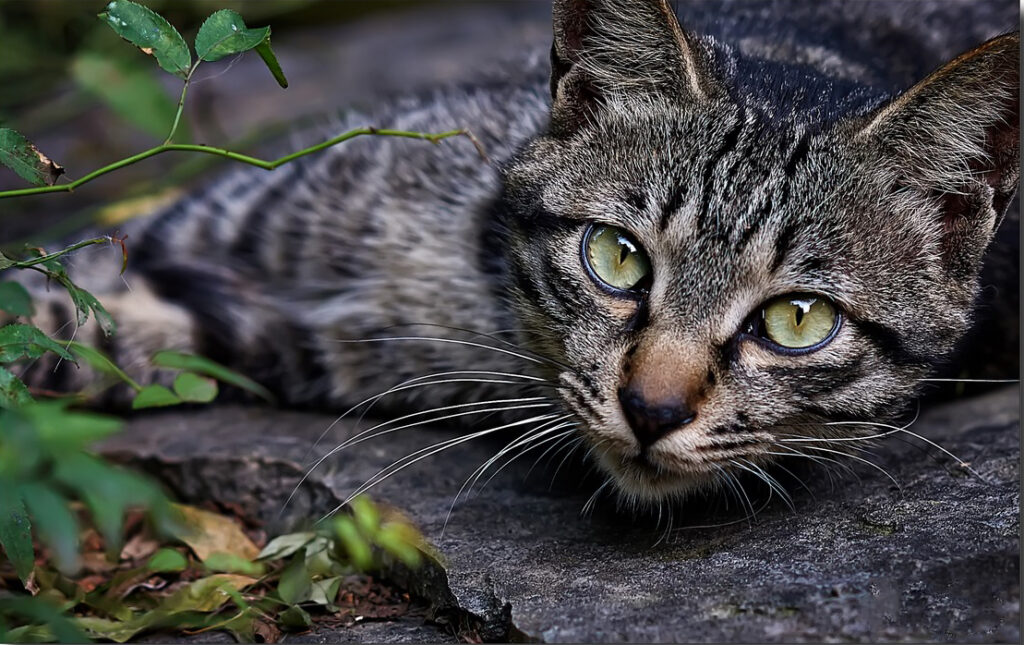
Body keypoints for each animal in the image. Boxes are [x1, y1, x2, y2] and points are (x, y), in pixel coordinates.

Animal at [12, 0, 1019, 505]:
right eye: (617, 257)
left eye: (797, 320)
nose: (651, 409)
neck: (480, 296)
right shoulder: (225, 216)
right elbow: (46, 301)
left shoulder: (268, 343)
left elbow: (86, 336)